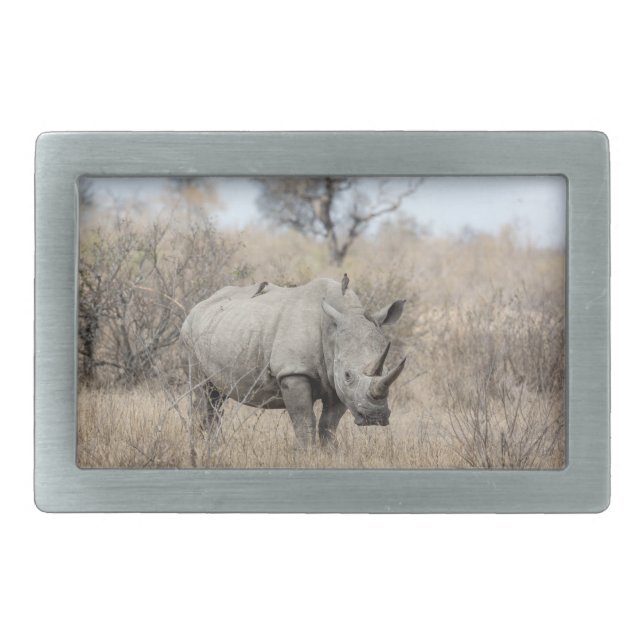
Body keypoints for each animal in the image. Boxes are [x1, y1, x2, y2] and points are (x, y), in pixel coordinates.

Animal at [180, 278, 406, 448]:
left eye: (388, 368)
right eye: (348, 375)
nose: (374, 418)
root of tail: (198, 305)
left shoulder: (336, 381)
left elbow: (329, 424)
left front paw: (330, 453)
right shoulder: (293, 371)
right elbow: (304, 420)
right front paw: (306, 454)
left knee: (216, 398)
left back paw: (214, 448)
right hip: (189, 336)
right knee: (203, 393)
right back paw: (203, 449)